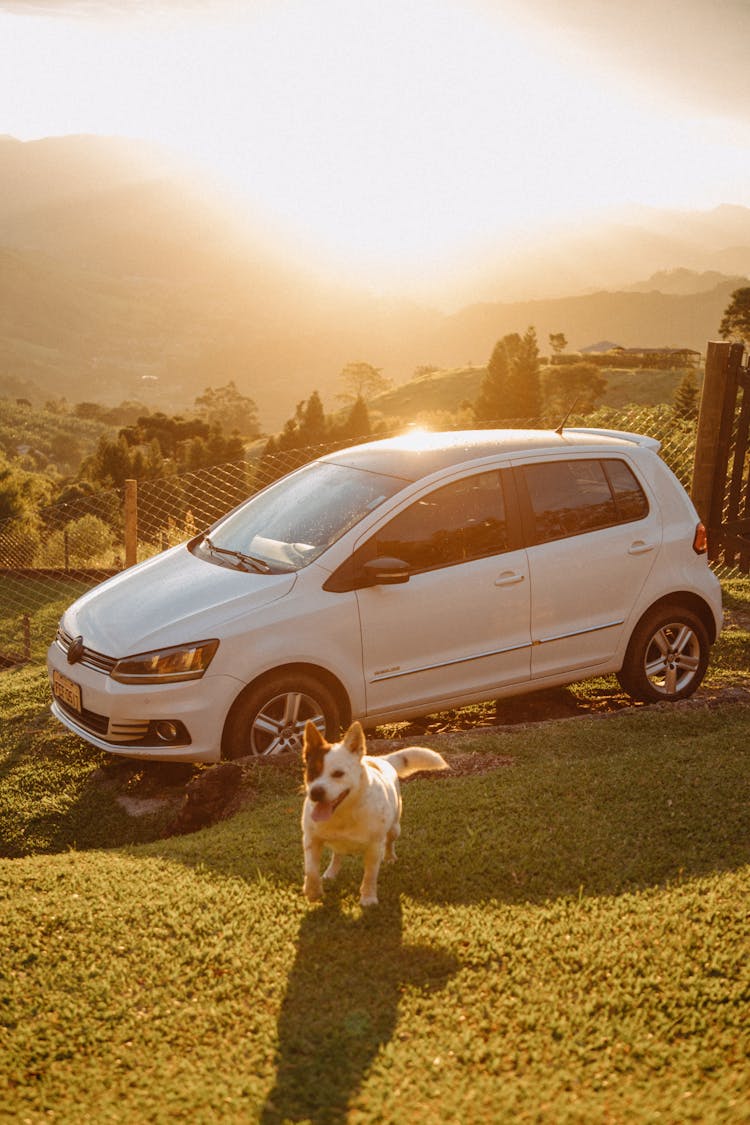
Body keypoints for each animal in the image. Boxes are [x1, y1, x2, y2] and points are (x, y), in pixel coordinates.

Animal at [301, 720, 449, 904]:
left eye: (338, 774)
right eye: (312, 772)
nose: (315, 792)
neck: (343, 812)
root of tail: (377, 759)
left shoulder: (374, 847)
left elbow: (370, 875)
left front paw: (368, 898)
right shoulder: (311, 839)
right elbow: (311, 870)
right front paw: (312, 892)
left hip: (395, 828)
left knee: (390, 842)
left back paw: (390, 858)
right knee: (337, 854)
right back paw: (331, 872)